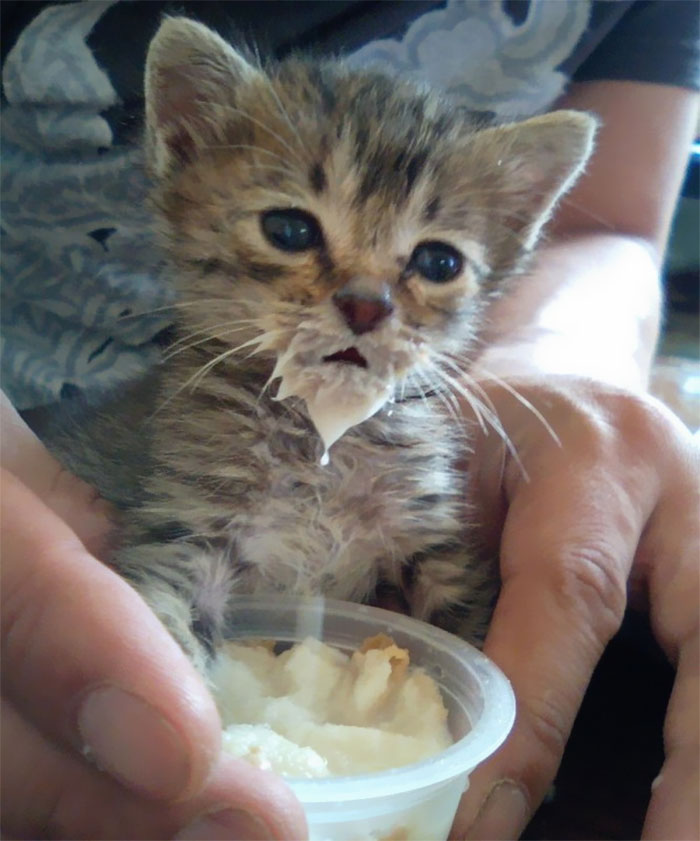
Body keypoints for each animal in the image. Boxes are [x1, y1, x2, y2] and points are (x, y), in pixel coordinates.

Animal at [53, 18, 596, 668]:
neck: (320, 444)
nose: (367, 305)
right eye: (289, 230)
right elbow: (168, 621)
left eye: (438, 262)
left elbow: (465, 625)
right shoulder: (183, 525)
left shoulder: (433, 538)